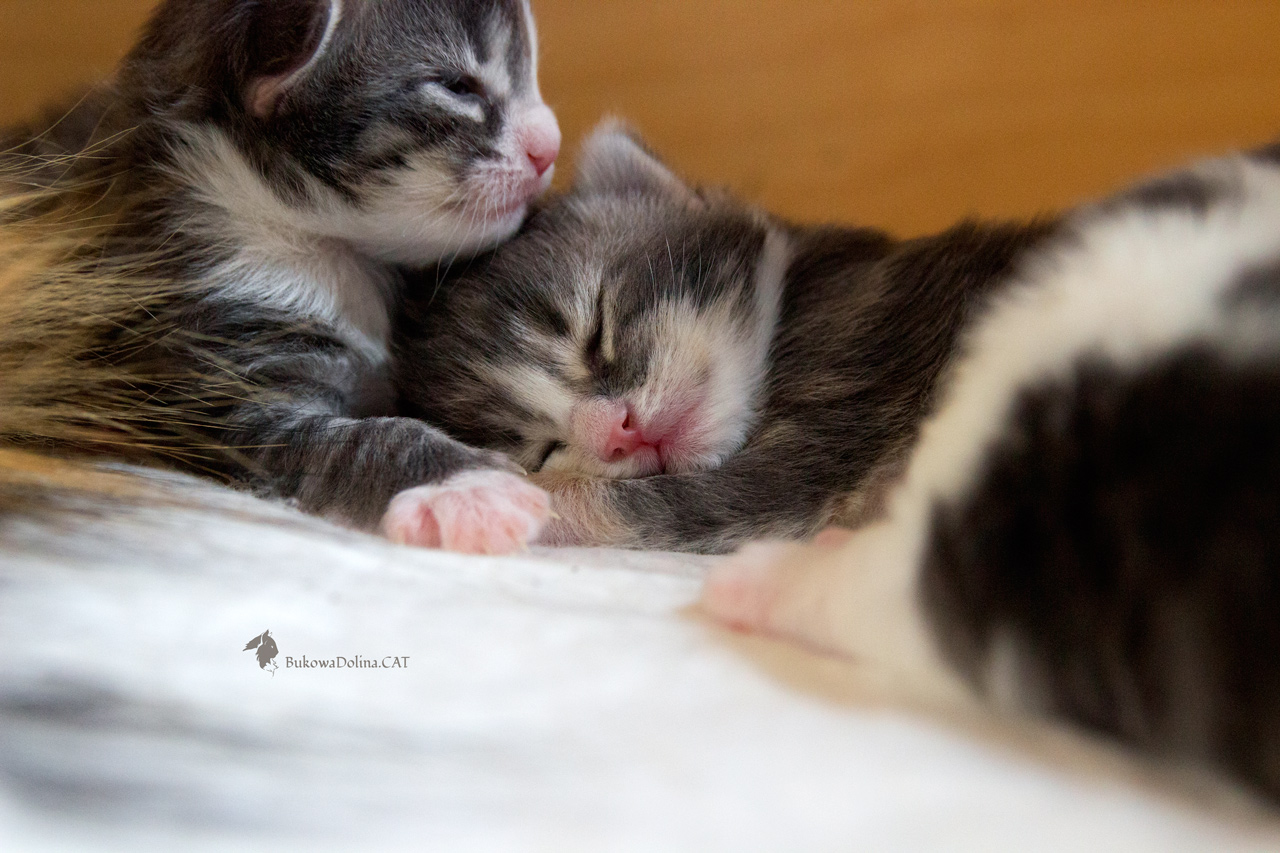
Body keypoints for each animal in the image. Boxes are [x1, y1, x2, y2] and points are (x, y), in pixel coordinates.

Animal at [398, 124, 1280, 800]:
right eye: (545, 443)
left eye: (597, 330)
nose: (614, 432)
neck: (788, 309)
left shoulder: (818, 442)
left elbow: (621, 507)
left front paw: (458, 500)